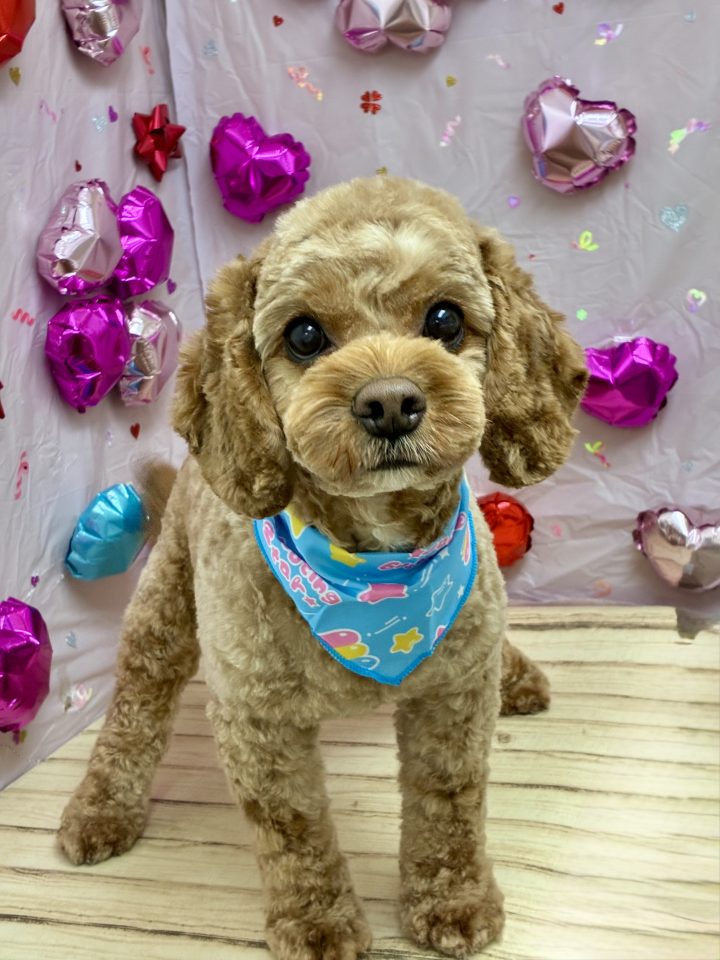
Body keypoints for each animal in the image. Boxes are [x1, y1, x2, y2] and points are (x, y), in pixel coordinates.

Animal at [58, 176, 587, 959]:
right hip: (164, 607)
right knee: (134, 706)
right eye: (304, 335)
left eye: (446, 318)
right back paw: (101, 808)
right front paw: (318, 922)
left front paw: (453, 900)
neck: (374, 572)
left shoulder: (455, 692)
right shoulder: (259, 720)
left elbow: (450, 802)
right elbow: (294, 831)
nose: (390, 403)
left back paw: (517, 674)